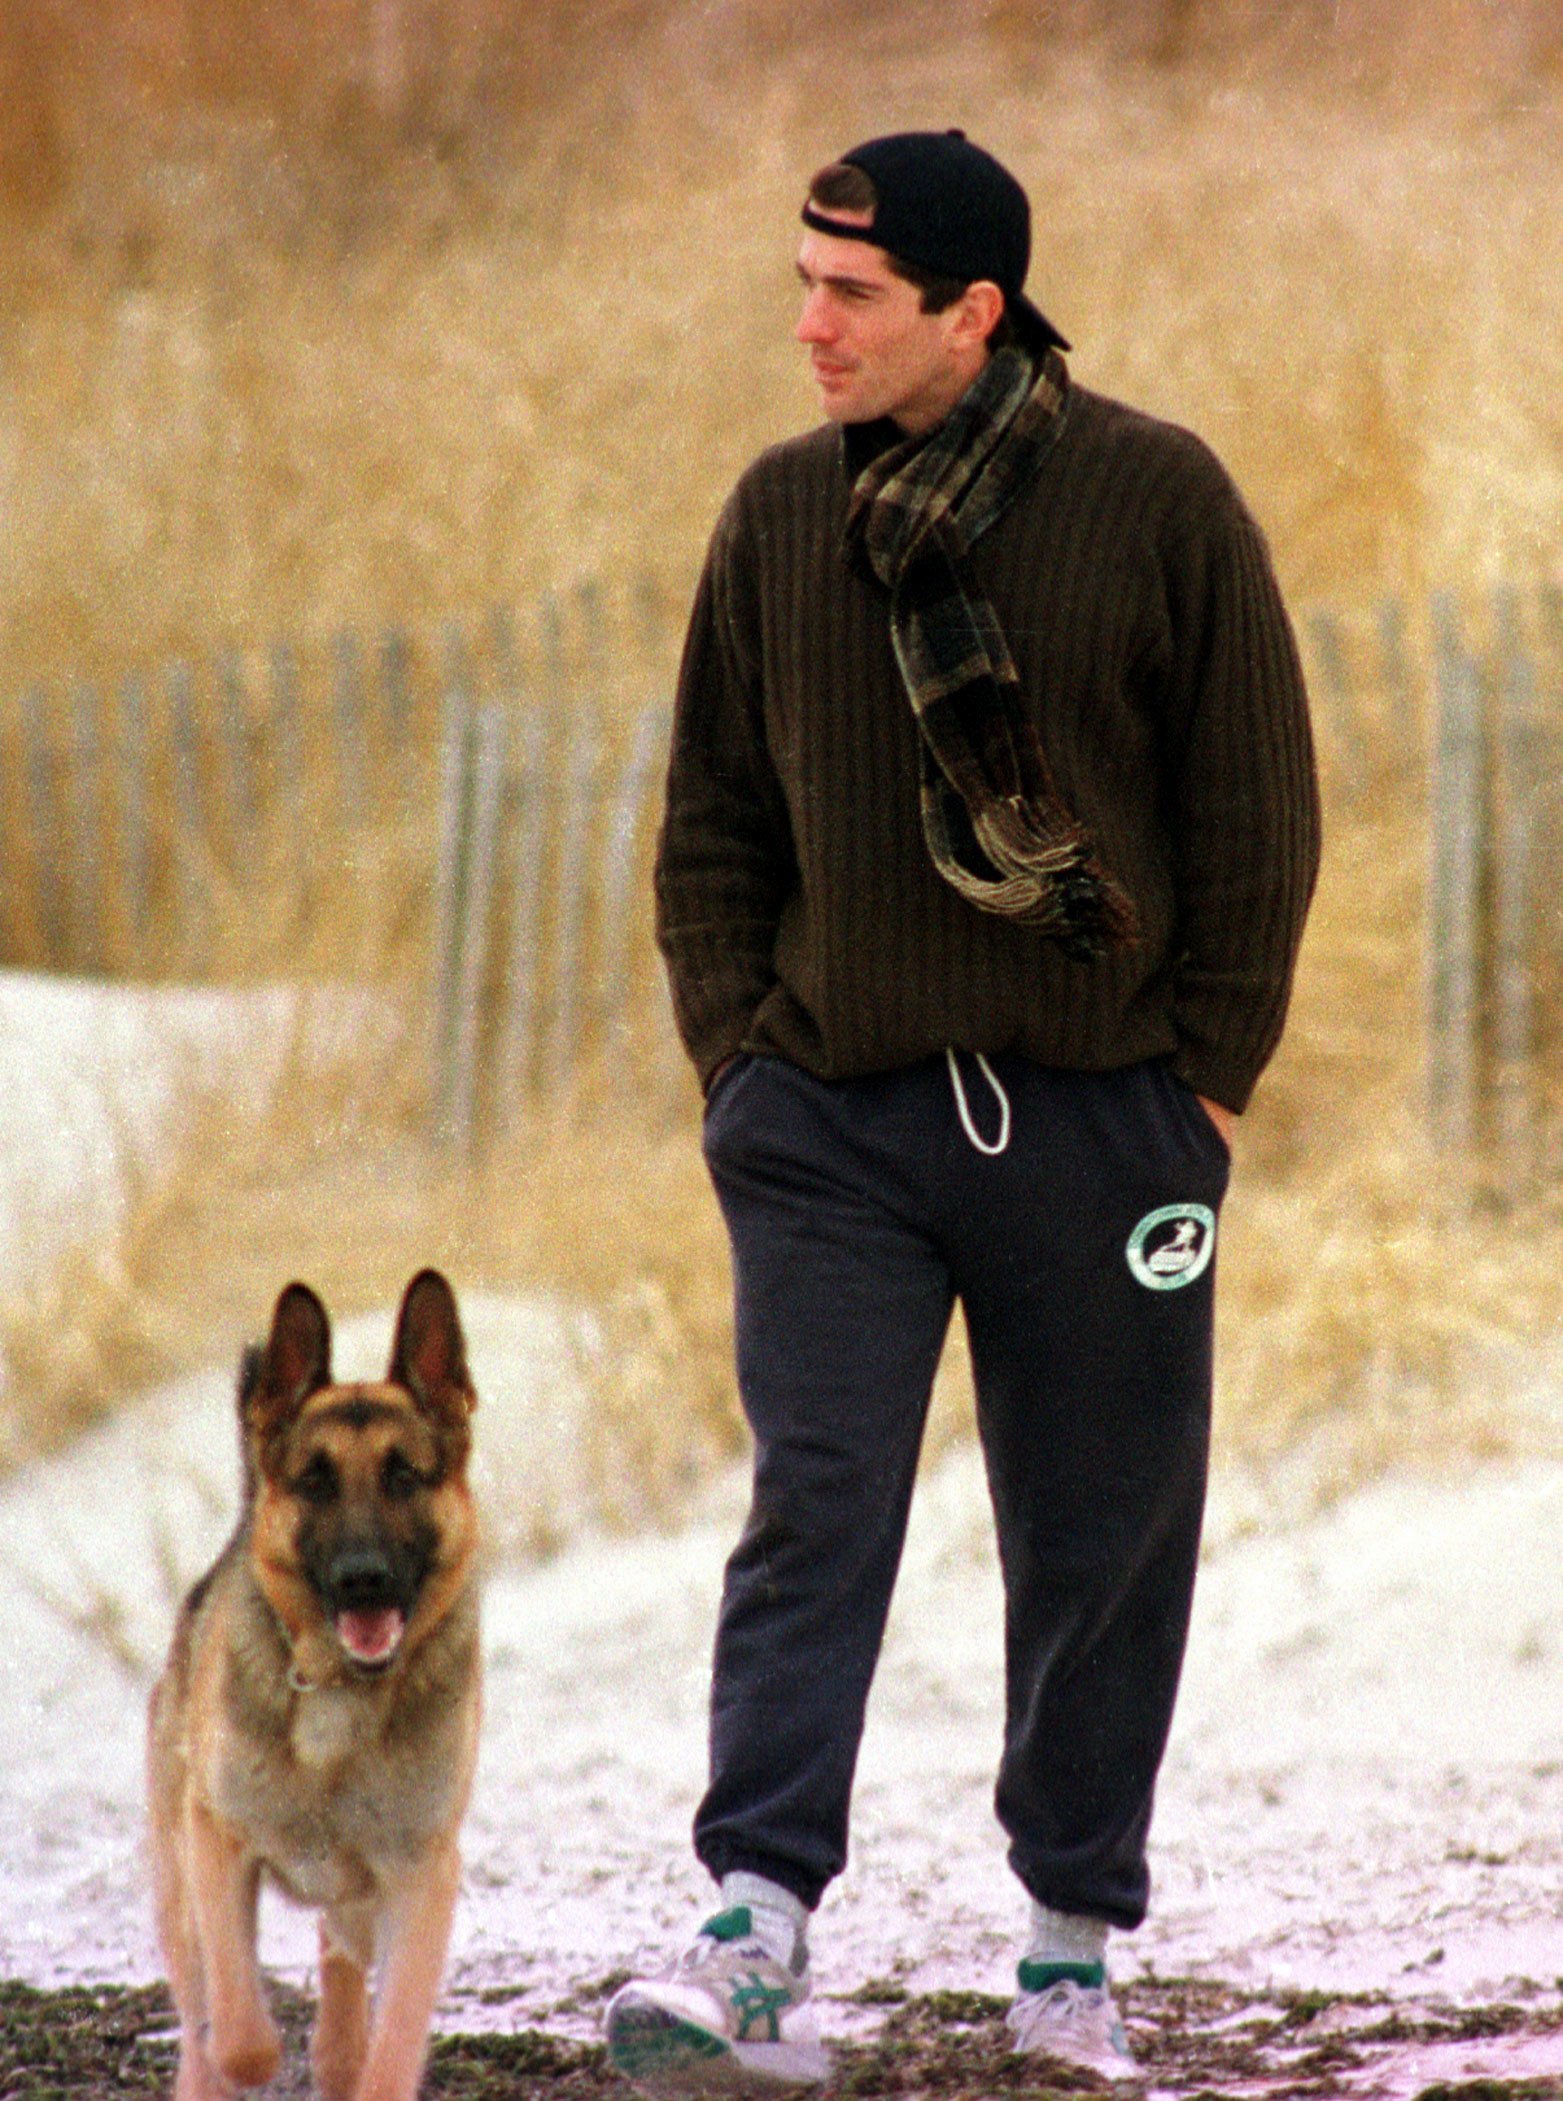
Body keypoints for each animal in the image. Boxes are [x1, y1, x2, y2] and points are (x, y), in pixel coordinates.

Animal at [153, 1269, 485, 2101]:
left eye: (404, 1475)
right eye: (314, 1482)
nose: (364, 1578)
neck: (339, 1686)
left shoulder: (419, 1878)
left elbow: (392, 2040)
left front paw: (357, 2058)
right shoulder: (216, 1842)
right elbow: (239, 2028)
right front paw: (242, 2054)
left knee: (341, 1961)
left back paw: (336, 2046)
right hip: (175, 1879)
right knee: (199, 1993)